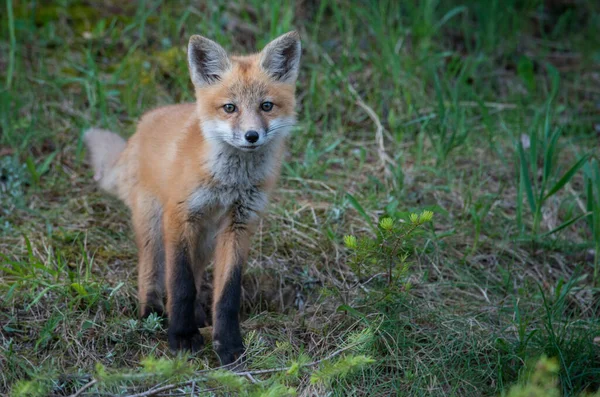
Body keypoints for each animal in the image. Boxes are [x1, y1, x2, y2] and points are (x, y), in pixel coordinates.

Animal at [84, 32, 300, 364]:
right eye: (230, 108)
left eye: (266, 106)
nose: (252, 136)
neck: (229, 182)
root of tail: (143, 123)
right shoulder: (180, 216)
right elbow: (180, 284)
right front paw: (182, 337)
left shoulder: (239, 224)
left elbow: (227, 294)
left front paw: (228, 344)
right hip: (154, 224)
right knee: (151, 270)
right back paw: (153, 312)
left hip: (207, 238)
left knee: (198, 274)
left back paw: (198, 315)